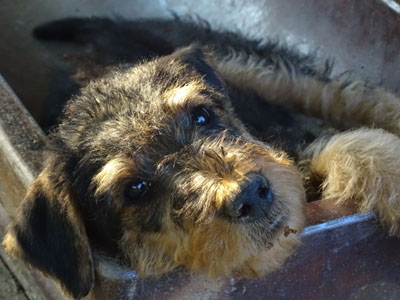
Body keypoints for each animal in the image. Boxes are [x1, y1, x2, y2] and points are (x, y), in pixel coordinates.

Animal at [3, 17, 400, 300]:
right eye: (135, 188)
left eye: (201, 116)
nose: (250, 195)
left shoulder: (288, 133)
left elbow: (350, 143)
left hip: (247, 65)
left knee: (348, 94)